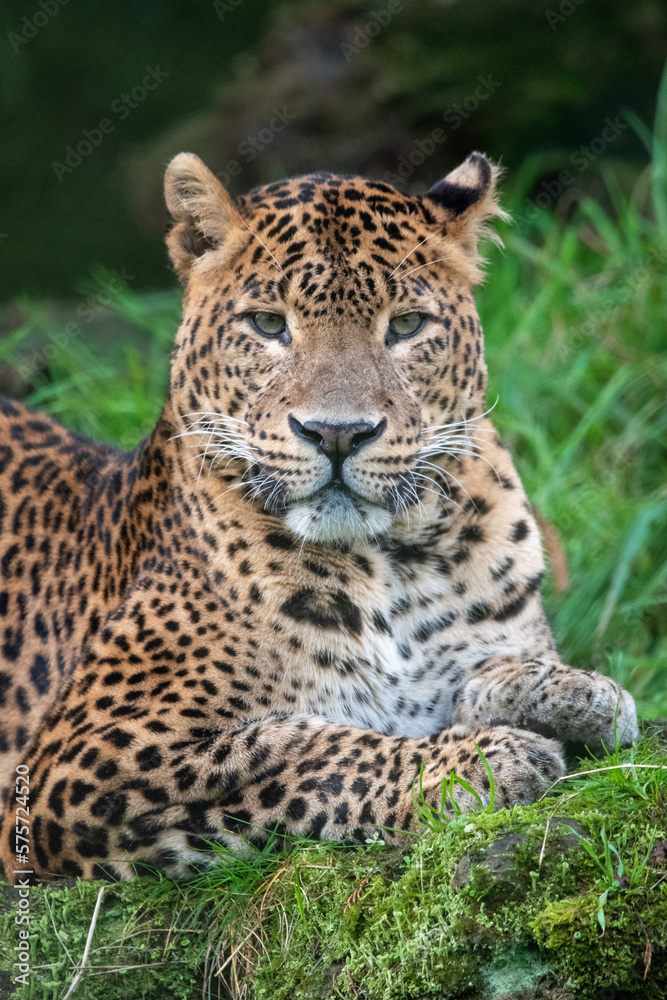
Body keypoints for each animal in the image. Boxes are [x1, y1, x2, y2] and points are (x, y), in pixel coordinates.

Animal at [0, 150, 638, 883]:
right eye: (268, 324)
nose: (337, 433)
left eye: (406, 325)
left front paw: (570, 690)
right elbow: (297, 748)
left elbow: (483, 668)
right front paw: (479, 761)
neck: (397, 563)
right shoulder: (85, 762)